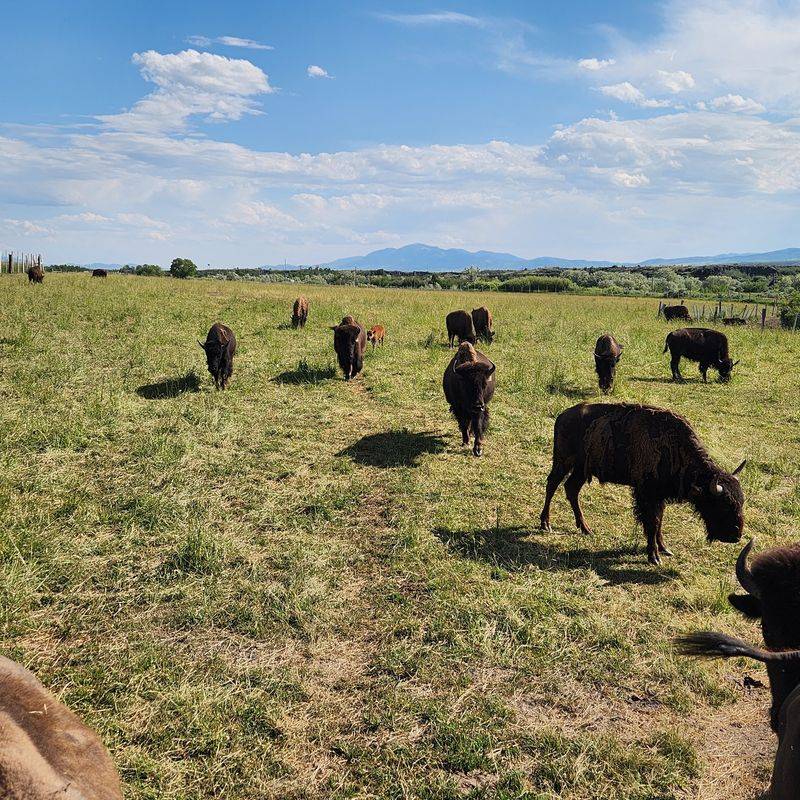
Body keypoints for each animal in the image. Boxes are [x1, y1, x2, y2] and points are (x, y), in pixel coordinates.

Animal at [539, 402, 745, 564]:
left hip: (581, 469)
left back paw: (585, 529)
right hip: (563, 462)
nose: (736, 535)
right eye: (723, 505)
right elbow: (652, 523)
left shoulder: (658, 497)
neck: (674, 448)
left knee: (571, 489)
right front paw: (654, 557)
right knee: (552, 485)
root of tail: (563, 415)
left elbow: (659, 521)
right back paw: (546, 524)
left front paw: (664, 548)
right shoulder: (646, 494)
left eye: (741, 503)